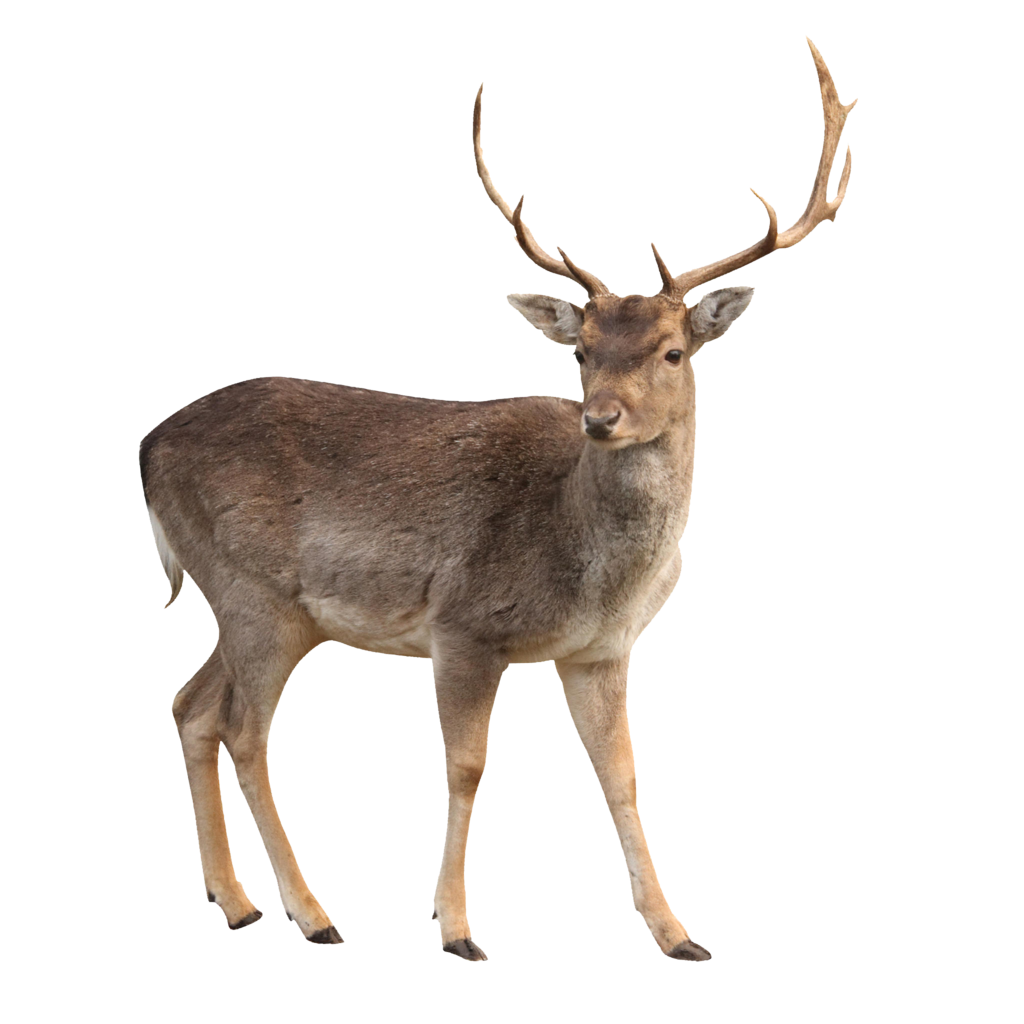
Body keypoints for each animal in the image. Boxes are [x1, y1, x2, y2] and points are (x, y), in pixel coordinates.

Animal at [140, 34, 857, 961]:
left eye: (672, 351)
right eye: (580, 351)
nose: (601, 417)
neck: (591, 566)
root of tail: (146, 447)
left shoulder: (602, 650)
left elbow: (623, 775)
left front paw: (677, 932)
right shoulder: (464, 627)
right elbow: (467, 767)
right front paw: (456, 928)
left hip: (264, 611)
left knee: (192, 706)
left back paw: (237, 903)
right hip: (251, 592)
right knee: (242, 729)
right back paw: (312, 914)